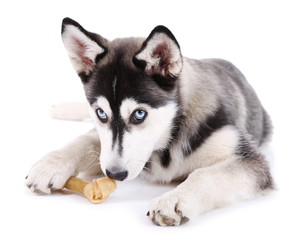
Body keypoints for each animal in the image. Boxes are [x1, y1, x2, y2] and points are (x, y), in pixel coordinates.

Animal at [26, 17, 274, 226]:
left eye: (139, 114)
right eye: (101, 113)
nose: (115, 174)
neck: (168, 139)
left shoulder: (249, 160)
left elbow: (205, 174)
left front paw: (175, 199)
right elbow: (86, 140)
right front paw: (50, 165)